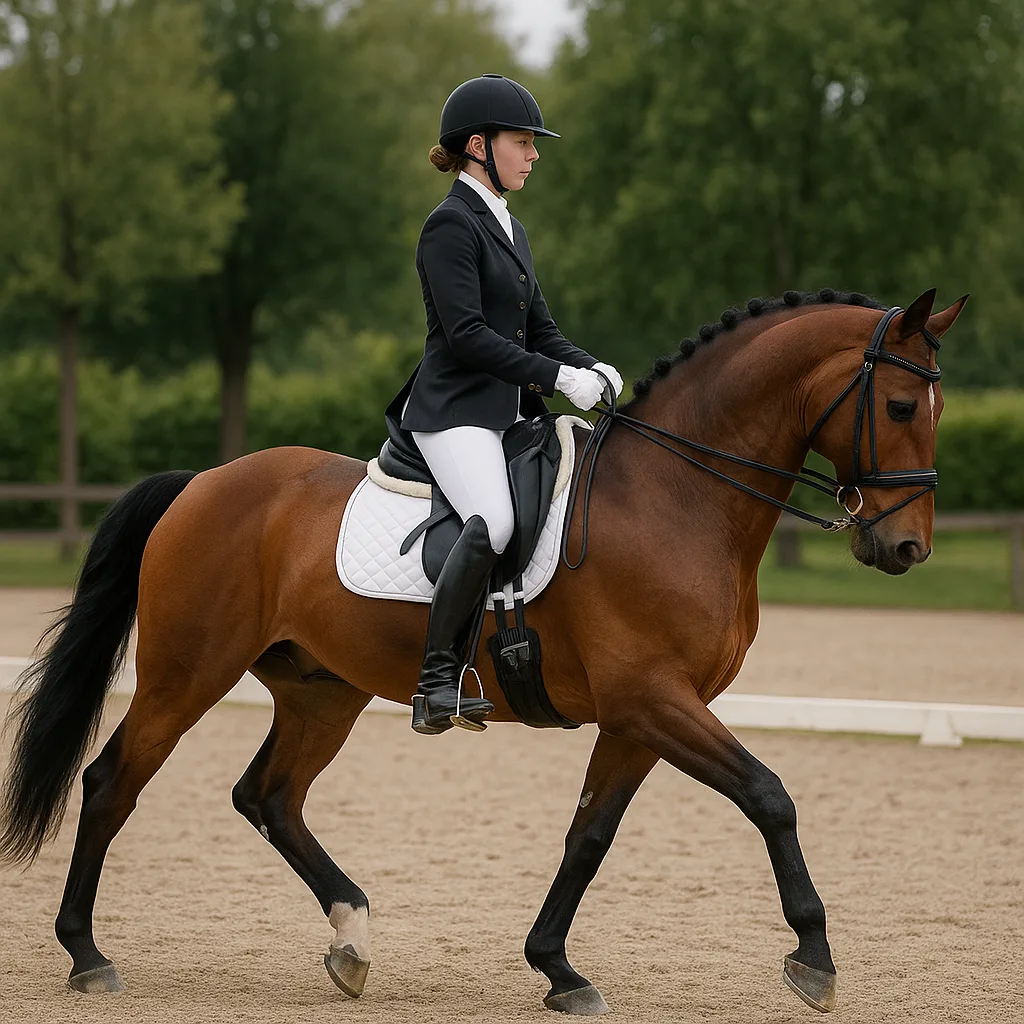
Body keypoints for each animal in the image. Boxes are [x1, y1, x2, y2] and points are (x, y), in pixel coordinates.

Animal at [0, 287, 965, 1015]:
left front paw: (558, 968)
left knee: (268, 795)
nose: (905, 549)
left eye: (938, 409)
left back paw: (351, 939)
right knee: (112, 784)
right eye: (900, 405)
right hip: (186, 674)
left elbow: (590, 835)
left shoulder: (640, 714)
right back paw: (87, 956)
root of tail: (200, 482)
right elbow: (770, 796)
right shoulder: (654, 698)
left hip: (322, 691)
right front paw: (814, 958)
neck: (678, 496)